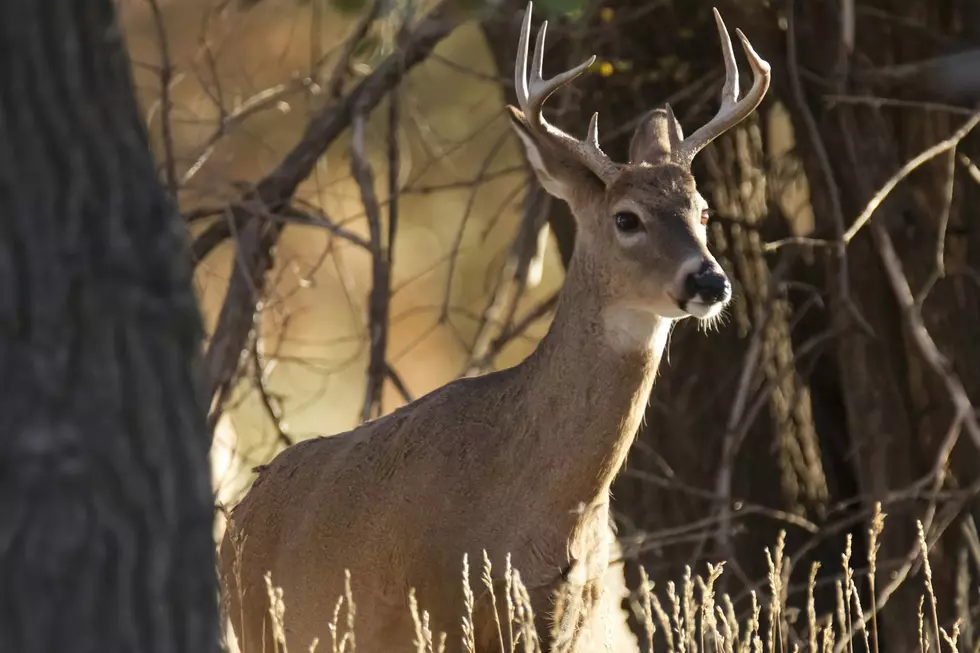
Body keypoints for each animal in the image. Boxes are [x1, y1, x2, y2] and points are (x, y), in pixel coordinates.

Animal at [219, 4, 769, 652]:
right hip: (263, 625)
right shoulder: (439, 612)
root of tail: (237, 517)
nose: (710, 281)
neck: (542, 513)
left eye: (703, 211)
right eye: (626, 218)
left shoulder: (570, 620)